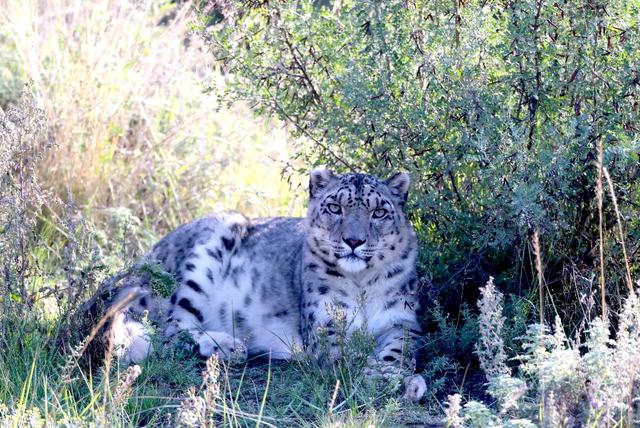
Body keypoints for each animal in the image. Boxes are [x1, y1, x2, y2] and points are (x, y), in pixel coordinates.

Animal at [111, 169, 424, 400]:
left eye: (379, 212)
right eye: (335, 208)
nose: (354, 241)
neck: (362, 284)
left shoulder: (402, 320)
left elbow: (399, 349)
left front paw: (399, 378)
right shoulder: (324, 323)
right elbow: (346, 355)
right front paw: (381, 377)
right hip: (203, 260)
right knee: (170, 328)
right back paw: (228, 345)